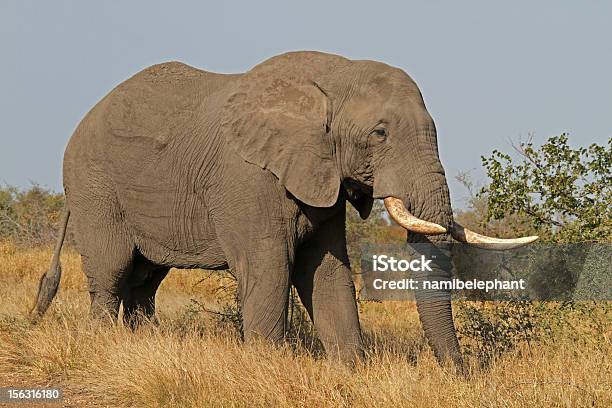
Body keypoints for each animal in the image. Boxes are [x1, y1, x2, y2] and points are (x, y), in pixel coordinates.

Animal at [31, 51, 536, 370]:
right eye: (380, 134)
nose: (461, 372)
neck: (334, 77)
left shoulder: (321, 175)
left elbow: (326, 271)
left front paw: (349, 370)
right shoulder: (247, 179)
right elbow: (270, 268)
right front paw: (269, 367)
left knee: (145, 278)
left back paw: (147, 345)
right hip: (94, 185)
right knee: (113, 271)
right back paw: (104, 346)